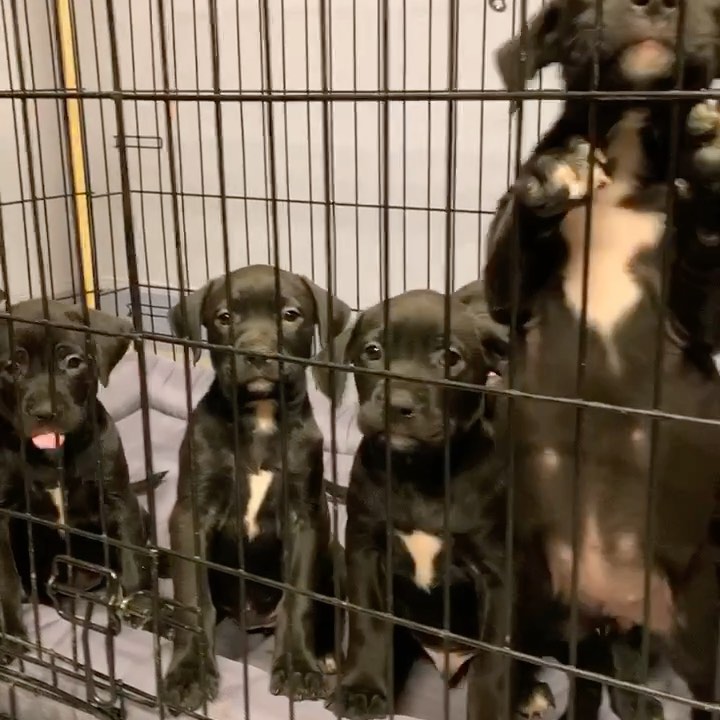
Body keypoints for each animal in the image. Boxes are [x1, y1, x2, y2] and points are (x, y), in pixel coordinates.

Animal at [161, 264, 352, 716]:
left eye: (291, 314)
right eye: (225, 317)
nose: (259, 354)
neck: (261, 415)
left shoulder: (305, 518)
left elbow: (298, 598)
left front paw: (299, 665)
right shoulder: (191, 514)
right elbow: (193, 596)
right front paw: (189, 673)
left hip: (334, 555)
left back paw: (327, 654)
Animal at [480, 1, 720, 720]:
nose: (655, 2)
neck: (633, 127)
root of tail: (602, 608)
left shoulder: (700, 321)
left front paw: (710, 173)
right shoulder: (505, 296)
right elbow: (515, 241)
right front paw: (552, 180)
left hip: (695, 639)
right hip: (517, 620)